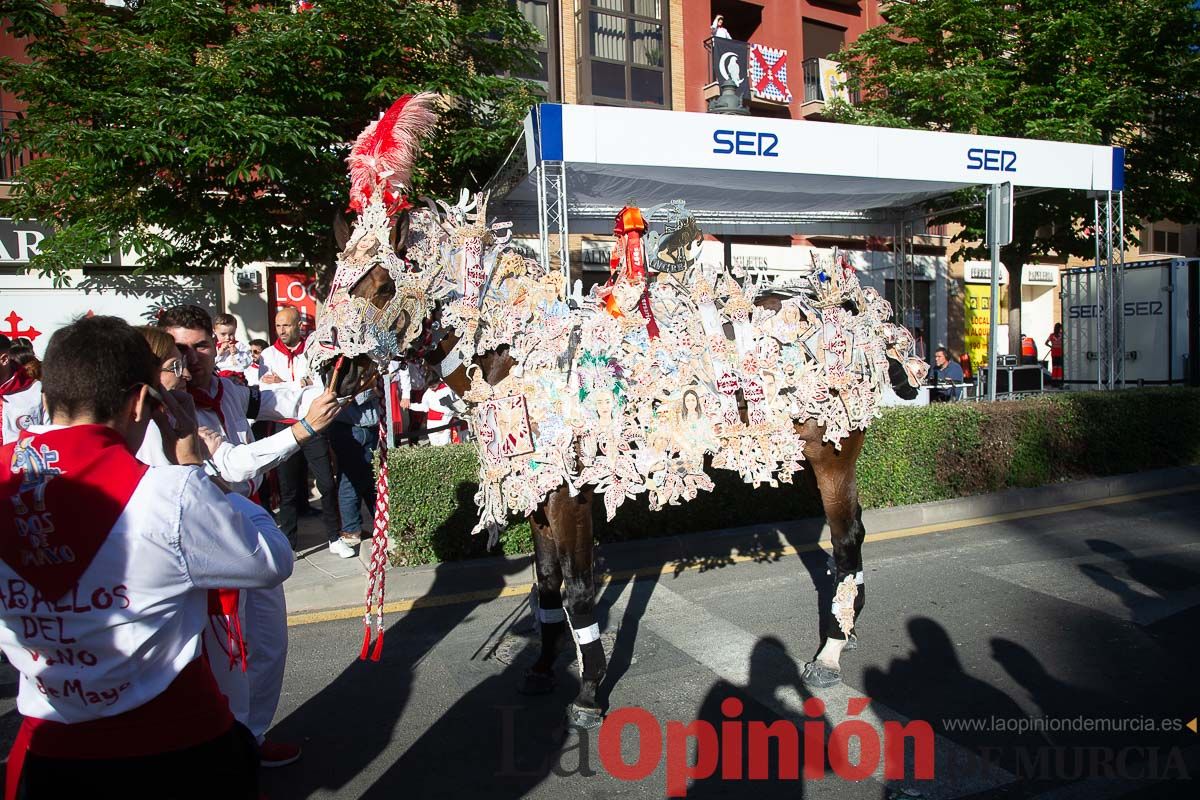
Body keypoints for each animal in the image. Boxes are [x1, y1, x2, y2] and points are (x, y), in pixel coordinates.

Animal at [307, 95, 926, 734]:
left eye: (381, 286)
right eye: (331, 281)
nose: (333, 376)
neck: (520, 351)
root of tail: (848, 310)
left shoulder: (571, 496)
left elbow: (579, 591)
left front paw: (588, 691)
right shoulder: (537, 490)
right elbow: (546, 587)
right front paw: (542, 669)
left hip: (833, 446)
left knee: (847, 537)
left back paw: (830, 652)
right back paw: (847, 623)